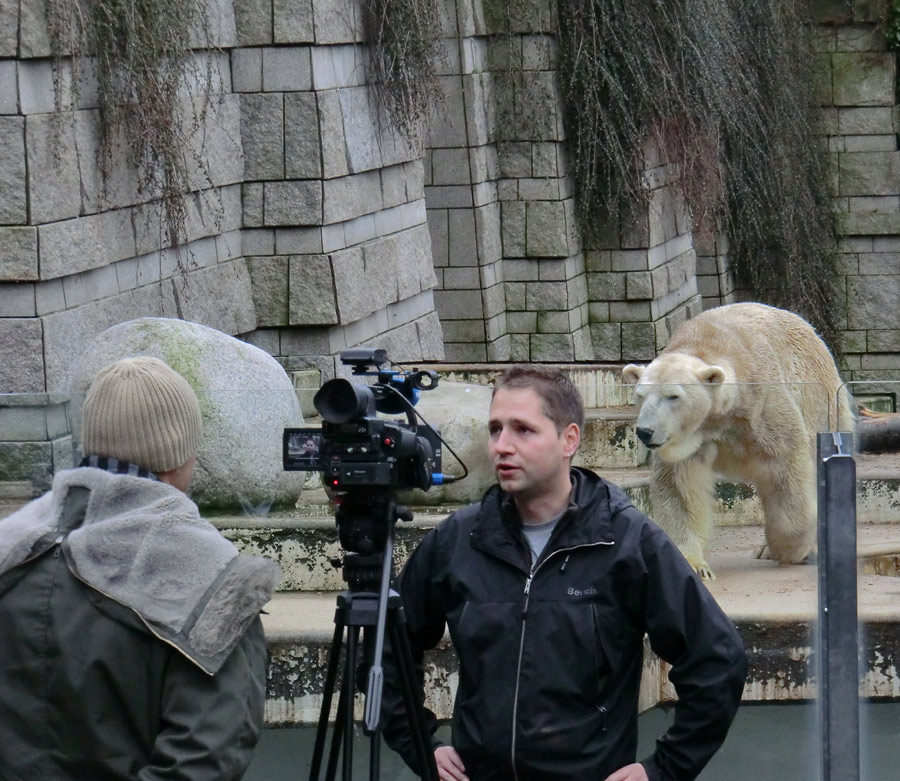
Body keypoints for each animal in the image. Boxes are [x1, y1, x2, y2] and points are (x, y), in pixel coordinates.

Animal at [624, 302, 856, 576]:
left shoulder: (762, 406)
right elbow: (680, 487)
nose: (645, 431)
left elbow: (787, 466)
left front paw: (790, 549)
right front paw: (694, 564)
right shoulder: (688, 439)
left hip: (819, 399)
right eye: (640, 395)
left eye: (673, 396)